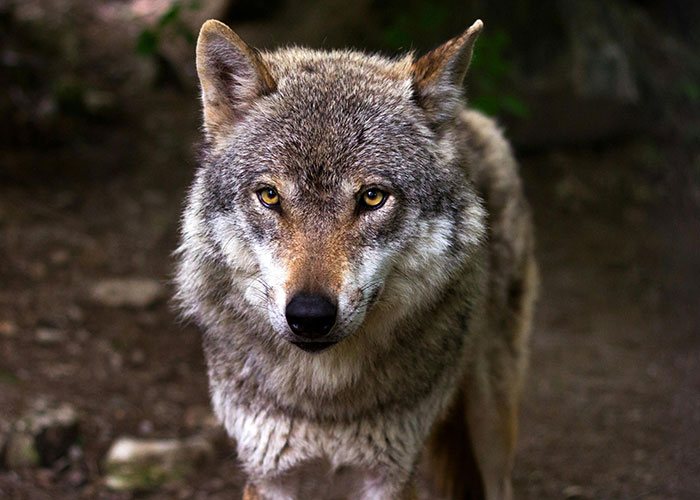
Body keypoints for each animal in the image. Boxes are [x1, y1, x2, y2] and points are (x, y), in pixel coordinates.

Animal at [175, 17, 536, 500]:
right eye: (269, 196)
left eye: (372, 197)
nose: (309, 316)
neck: (326, 400)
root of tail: (470, 120)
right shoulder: (269, 475)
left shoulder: (390, 475)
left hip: (491, 420)